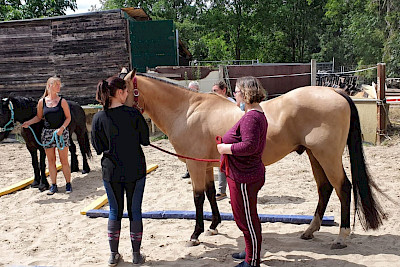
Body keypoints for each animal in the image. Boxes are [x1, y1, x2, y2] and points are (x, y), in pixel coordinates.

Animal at [123, 70, 386, 250]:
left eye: (119, 89)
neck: (187, 111)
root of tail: (334, 91)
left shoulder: (195, 165)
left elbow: (198, 198)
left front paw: (195, 234)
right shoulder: (204, 165)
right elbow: (211, 194)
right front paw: (214, 226)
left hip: (327, 156)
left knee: (343, 188)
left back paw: (341, 236)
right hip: (315, 156)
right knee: (325, 188)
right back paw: (310, 230)